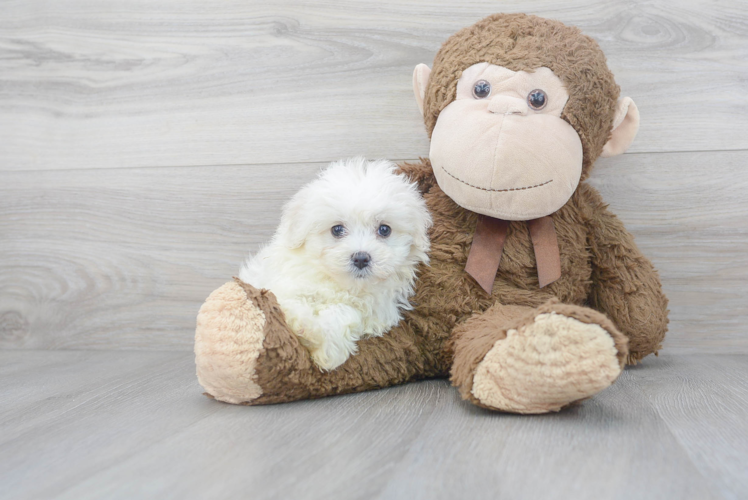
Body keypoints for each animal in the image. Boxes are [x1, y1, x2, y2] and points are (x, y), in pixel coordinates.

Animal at [237, 157, 430, 372]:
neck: (343, 286)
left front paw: (326, 348)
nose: (361, 258)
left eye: (384, 230)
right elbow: (289, 304)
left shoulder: (376, 312)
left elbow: (344, 314)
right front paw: (303, 324)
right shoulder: (283, 288)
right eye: (337, 230)